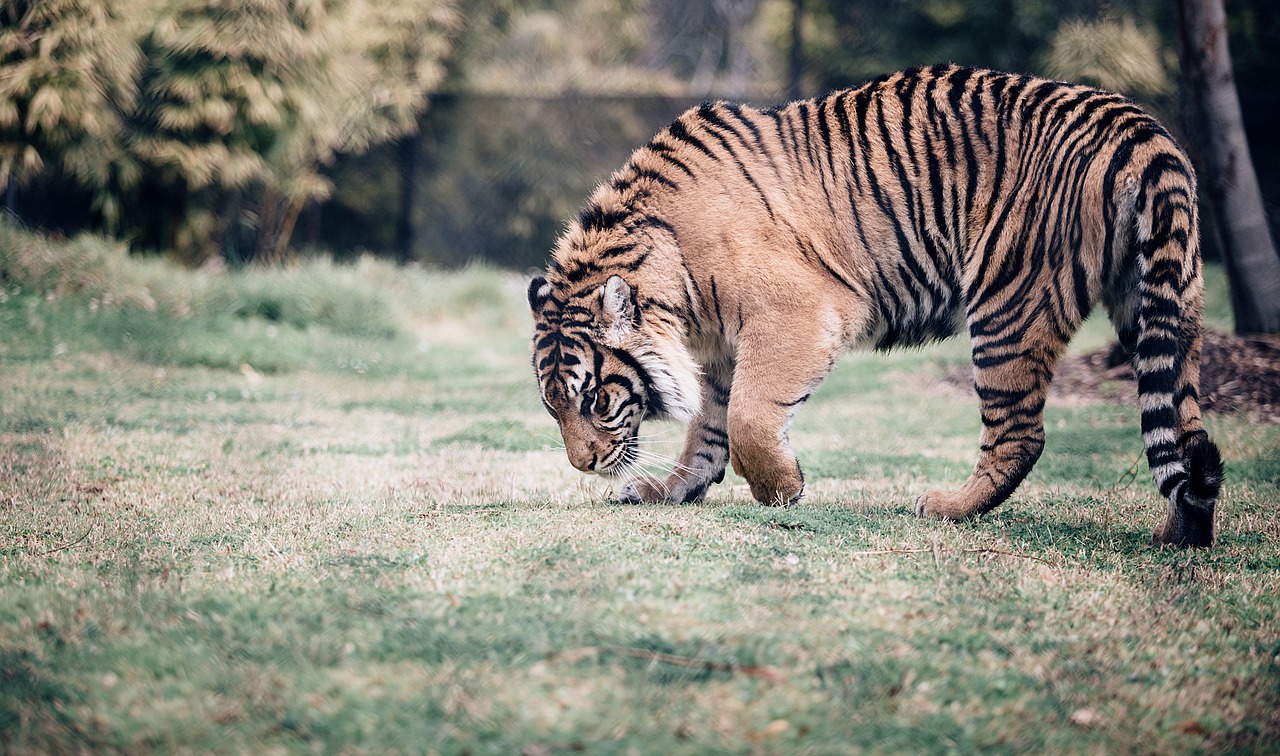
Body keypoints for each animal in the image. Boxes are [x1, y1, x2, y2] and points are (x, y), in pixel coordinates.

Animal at [524, 65, 1223, 547]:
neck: (672, 276)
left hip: (1009, 304)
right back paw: (1180, 531)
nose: (583, 465)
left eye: (596, 400)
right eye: (553, 406)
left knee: (1021, 433)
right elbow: (708, 429)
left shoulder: (796, 315)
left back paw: (945, 507)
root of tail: (1139, 130)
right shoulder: (722, 347)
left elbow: (747, 417)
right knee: (1184, 429)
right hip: (1161, 304)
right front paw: (669, 490)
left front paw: (781, 490)